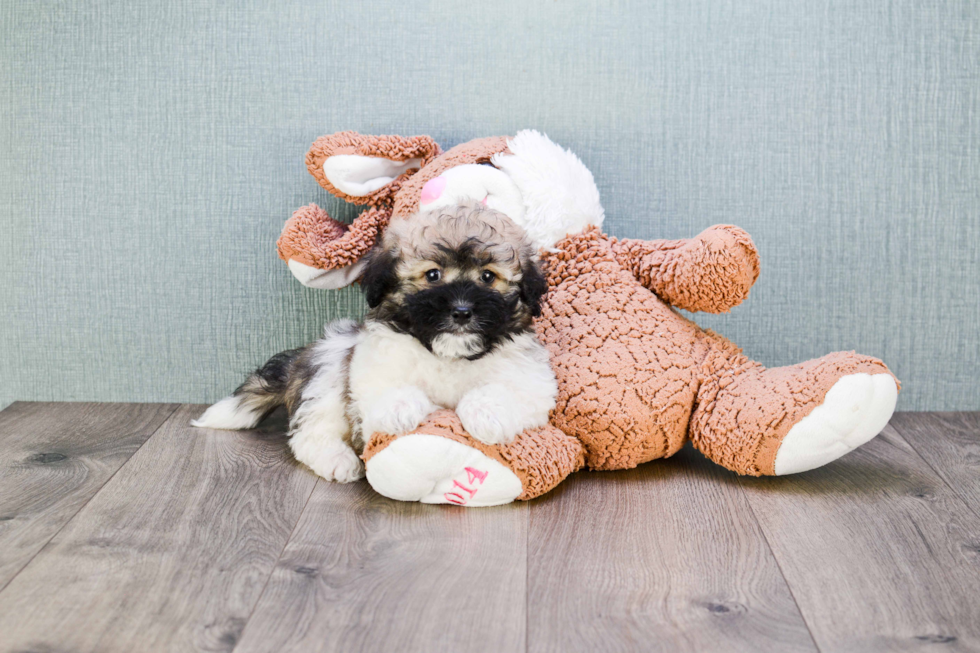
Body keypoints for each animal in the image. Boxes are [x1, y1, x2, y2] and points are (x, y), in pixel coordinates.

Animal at [193, 201, 560, 482]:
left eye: (488, 277)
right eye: (432, 275)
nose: (461, 311)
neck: (448, 354)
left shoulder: (531, 381)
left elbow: (504, 392)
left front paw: (485, 414)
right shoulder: (372, 368)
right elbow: (389, 390)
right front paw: (401, 410)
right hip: (330, 362)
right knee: (310, 432)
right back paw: (337, 460)